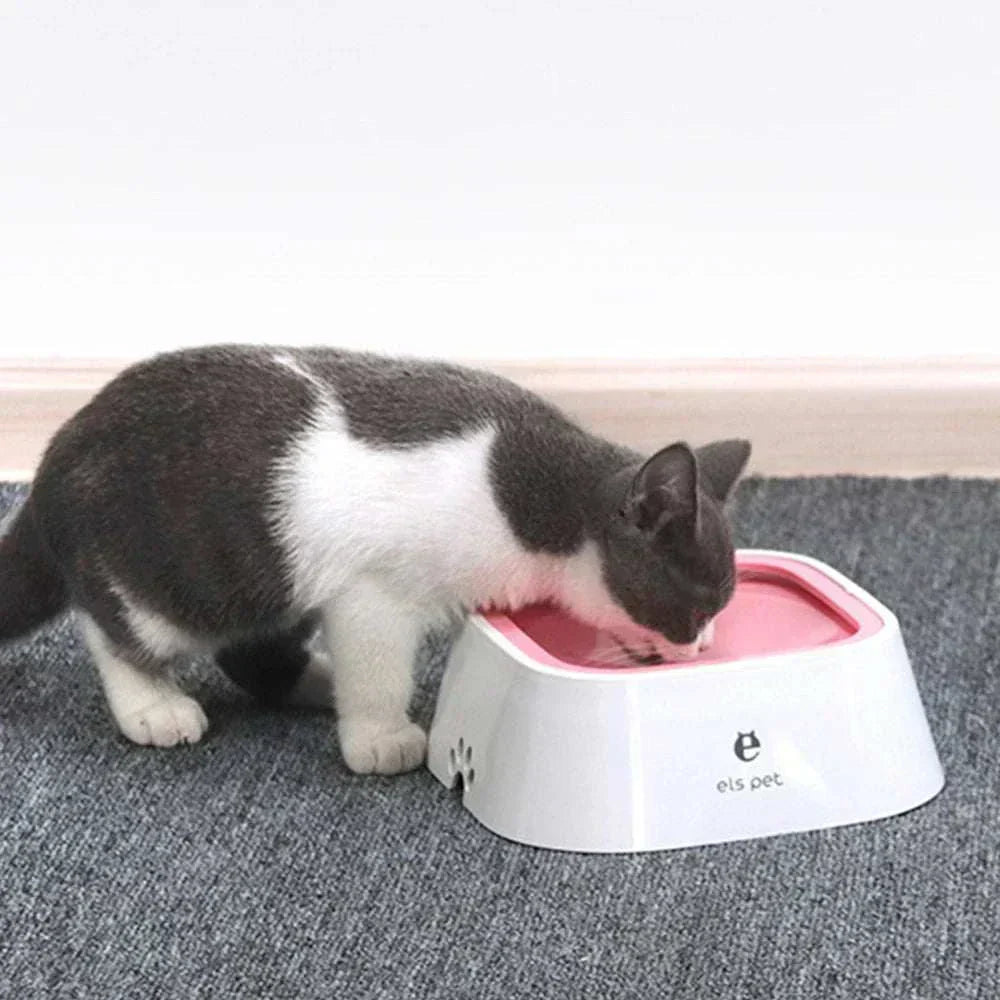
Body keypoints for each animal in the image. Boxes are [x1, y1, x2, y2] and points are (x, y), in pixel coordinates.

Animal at [0, 344, 752, 772]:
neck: (535, 503)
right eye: (698, 604)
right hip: (174, 570)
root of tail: (52, 462)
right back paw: (153, 706)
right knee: (115, 629)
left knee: (253, 648)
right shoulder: (373, 591)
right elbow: (378, 668)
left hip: (274, 572)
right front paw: (381, 736)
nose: (703, 647)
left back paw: (313, 680)